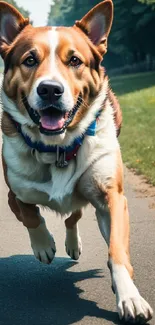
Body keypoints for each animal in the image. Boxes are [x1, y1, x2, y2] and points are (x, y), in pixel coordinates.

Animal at [0, 0, 153, 322]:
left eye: (74, 61)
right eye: (30, 60)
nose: (50, 89)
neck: (57, 147)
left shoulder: (111, 197)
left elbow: (116, 250)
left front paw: (130, 297)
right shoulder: (14, 194)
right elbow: (30, 215)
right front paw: (44, 245)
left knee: (74, 215)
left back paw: (73, 243)